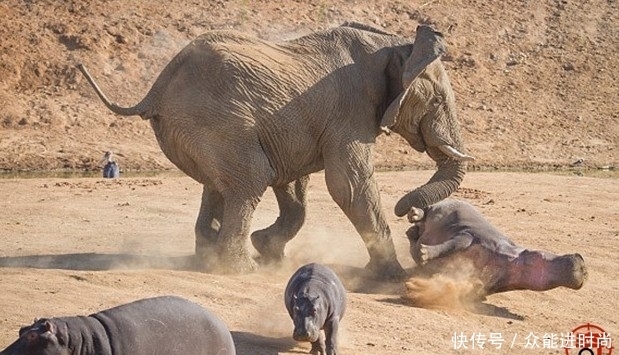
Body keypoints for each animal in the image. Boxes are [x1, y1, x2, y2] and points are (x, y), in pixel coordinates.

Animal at [78, 23, 474, 280]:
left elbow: (295, 184)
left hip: (198, 128)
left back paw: (210, 260)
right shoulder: (351, 111)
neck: (394, 45)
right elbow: (347, 185)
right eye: (437, 101)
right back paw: (239, 270)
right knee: (250, 180)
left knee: (219, 186)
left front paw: (269, 249)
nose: (412, 214)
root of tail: (156, 88)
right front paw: (392, 277)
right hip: (216, 121)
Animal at [404, 200, 588, 298]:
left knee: (415, 231)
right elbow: (453, 244)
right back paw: (414, 213)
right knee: (426, 211)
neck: (510, 260)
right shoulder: (470, 234)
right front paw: (423, 254)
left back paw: (412, 231)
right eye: (537, 256)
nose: (581, 261)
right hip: (443, 207)